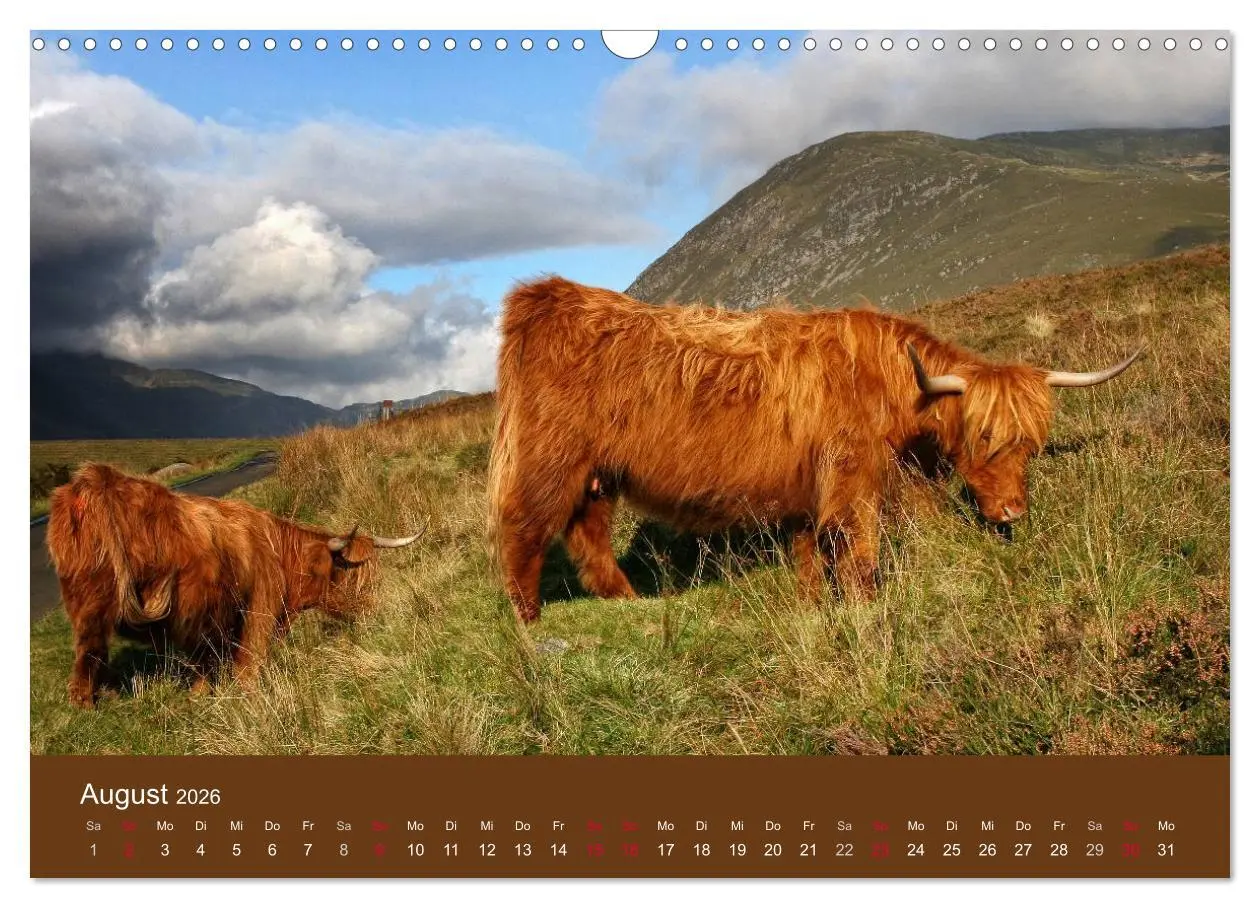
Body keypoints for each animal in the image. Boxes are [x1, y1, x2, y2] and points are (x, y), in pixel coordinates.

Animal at [46, 463, 423, 707]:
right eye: (350, 574)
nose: (373, 610)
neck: (280, 555)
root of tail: (98, 481)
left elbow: (210, 660)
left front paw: (203, 696)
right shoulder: (259, 609)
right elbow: (248, 661)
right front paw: (248, 696)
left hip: (87, 602)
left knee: (89, 652)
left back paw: (102, 696)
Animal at [487, 276, 1141, 622]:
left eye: (1030, 445)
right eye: (984, 437)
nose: (1011, 512)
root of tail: (548, 296)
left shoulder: (809, 488)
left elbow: (810, 552)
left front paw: (810, 605)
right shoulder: (853, 478)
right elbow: (859, 551)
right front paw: (865, 608)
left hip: (597, 472)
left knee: (588, 532)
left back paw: (633, 604)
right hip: (549, 459)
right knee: (524, 528)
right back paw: (529, 621)